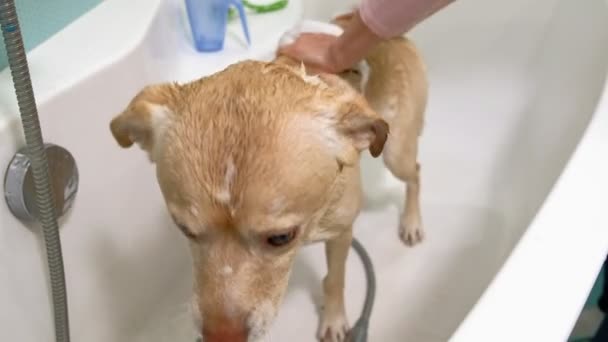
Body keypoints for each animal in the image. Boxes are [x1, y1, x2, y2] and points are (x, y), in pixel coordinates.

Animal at [108, 12, 422, 340]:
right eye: (184, 229)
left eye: (281, 238)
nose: (221, 337)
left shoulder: (341, 234)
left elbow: (335, 279)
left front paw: (334, 319)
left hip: (395, 152)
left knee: (415, 172)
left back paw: (412, 222)